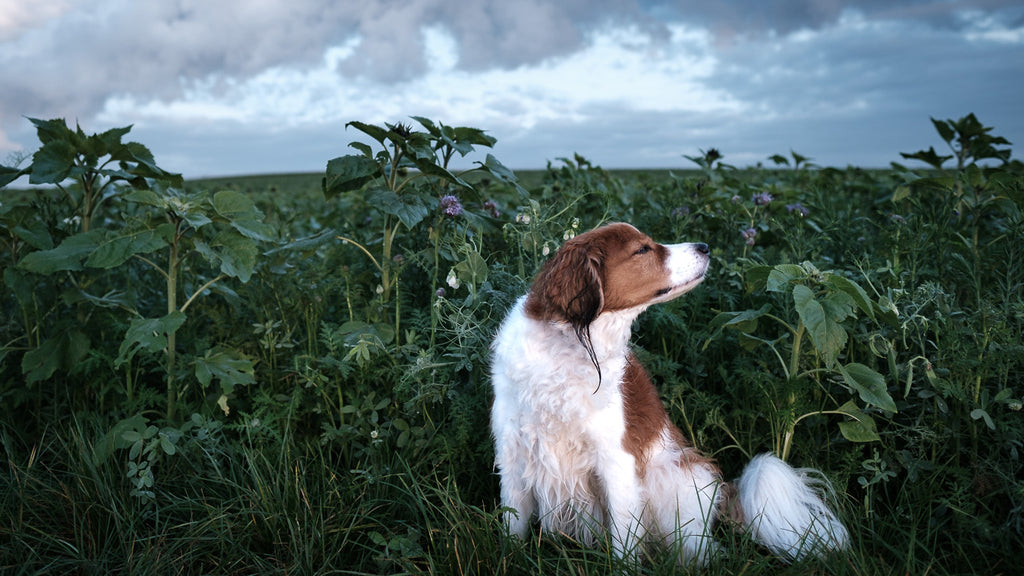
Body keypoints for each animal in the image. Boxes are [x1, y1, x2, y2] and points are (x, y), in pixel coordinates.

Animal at [487, 222, 847, 561]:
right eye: (642, 250)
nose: (705, 246)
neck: (567, 349)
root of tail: (722, 491)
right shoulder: (513, 455)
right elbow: (513, 525)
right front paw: (508, 558)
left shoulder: (616, 461)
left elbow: (625, 538)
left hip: (672, 476)